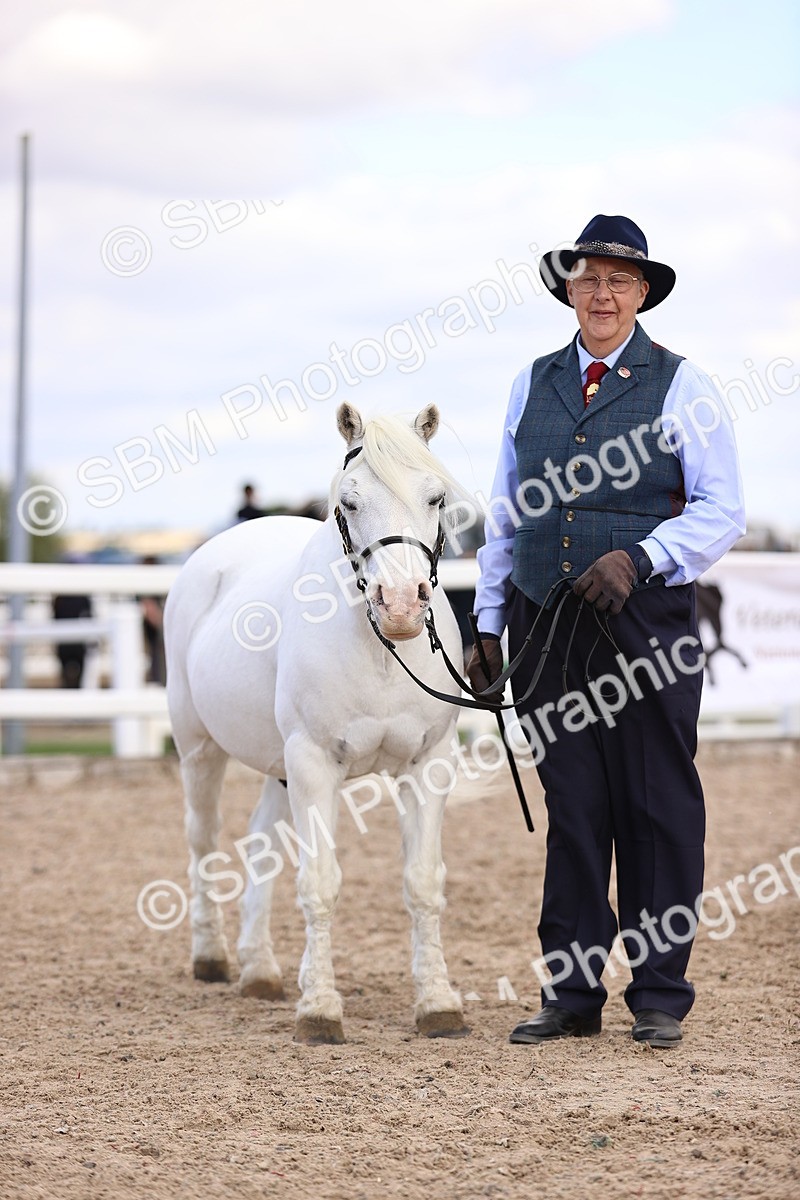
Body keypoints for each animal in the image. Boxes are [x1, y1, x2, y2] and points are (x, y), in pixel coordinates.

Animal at [164, 402, 472, 1044]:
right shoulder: (313, 763)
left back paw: (259, 970)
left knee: (259, 843)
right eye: (349, 501)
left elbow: (423, 883)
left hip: (276, 768)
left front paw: (438, 1003)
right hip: (199, 749)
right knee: (202, 839)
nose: (400, 604)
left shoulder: (428, 765)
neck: (382, 651)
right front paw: (321, 1010)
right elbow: (320, 883)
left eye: (436, 497)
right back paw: (212, 958)